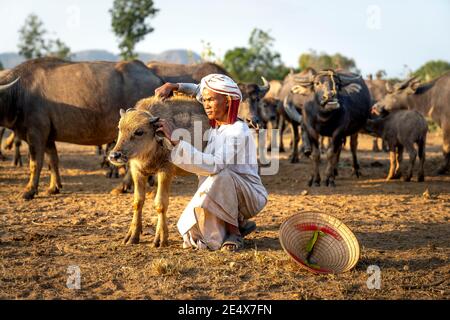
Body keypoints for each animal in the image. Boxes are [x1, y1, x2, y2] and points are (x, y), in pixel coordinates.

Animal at [0, 56, 164, 199]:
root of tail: (154, 76)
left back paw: (124, 186)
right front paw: (54, 187)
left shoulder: (36, 134)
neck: (19, 94)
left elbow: (35, 163)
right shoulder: (48, 137)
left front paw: (29, 191)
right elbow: (53, 160)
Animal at [109, 96, 209, 246]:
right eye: (119, 128)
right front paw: (132, 236)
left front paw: (160, 238)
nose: (115, 155)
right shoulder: (137, 171)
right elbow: (137, 202)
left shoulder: (165, 171)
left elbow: (161, 204)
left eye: (139, 132)